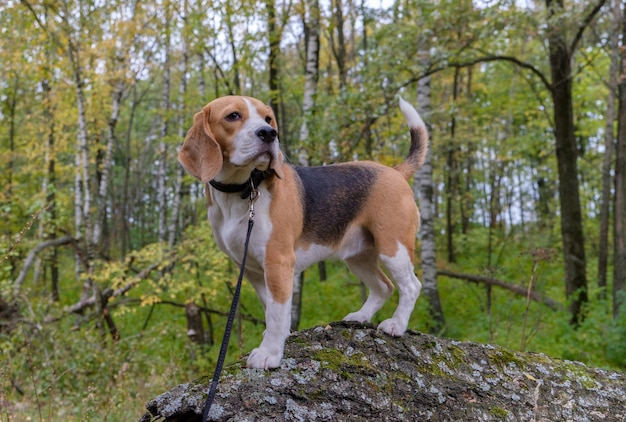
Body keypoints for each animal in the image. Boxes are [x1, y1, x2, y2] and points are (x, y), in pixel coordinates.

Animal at [178, 94, 426, 368]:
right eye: (233, 116)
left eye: (268, 118)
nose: (269, 133)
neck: (243, 190)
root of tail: (394, 171)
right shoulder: (252, 270)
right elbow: (271, 309)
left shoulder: (278, 261)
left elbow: (276, 313)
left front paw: (269, 353)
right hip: (358, 257)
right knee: (384, 287)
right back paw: (360, 316)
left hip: (393, 247)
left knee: (411, 286)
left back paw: (397, 324)